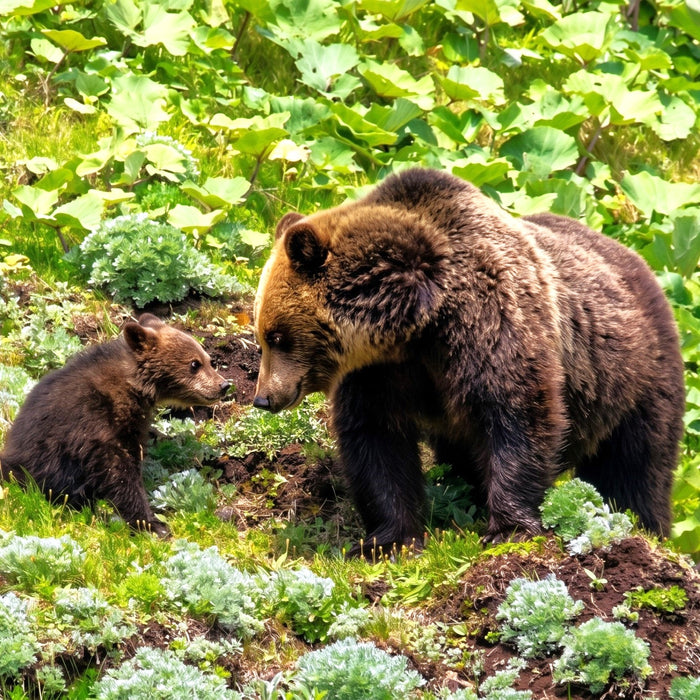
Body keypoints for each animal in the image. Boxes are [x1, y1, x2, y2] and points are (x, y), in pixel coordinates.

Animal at [0, 313, 230, 536]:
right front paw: (152, 525)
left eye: (209, 360)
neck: (131, 386)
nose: (224, 385)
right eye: (194, 363)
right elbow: (118, 473)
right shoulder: (95, 423)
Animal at [252, 167, 685, 556]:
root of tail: (636, 259)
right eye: (261, 334)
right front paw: (388, 541)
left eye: (276, 336)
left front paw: (508, 528)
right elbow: (375, 439)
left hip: (635, 378)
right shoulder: (379, 372)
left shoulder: (492, 324)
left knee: (635, 466)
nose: (263, 398)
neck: (418, 323)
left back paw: (644, 527)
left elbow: (518, 414)